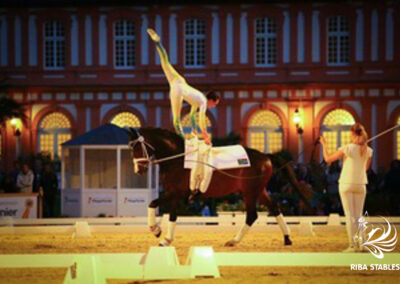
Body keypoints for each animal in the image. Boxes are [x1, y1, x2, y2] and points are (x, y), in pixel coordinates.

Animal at [130, 127, 292, 247]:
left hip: (250, 192)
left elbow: (153, 204)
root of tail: (265, 156)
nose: (138, 170)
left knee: (252, 215)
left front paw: (155, 230)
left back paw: (233, 241)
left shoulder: (176, 192)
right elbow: (172, 216)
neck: (177, 159)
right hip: (259, 191)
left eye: (137, 148)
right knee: (274, 207)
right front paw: (166, 239)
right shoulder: (173, 193)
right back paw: (287, 238)